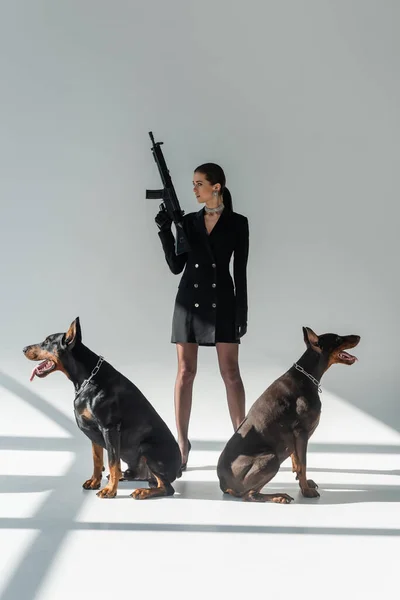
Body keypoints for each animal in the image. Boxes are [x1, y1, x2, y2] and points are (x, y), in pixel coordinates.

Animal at [22, 316, 182, 500]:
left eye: (47, 341)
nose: (23, 349)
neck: (86, 379)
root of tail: (179, 468)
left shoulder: (109, 428)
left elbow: (112, 462)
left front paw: (110, 490)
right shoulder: (93, 432)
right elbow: (97, 460)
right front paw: (94, 481)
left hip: (148, 449)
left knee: (167, 488)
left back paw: (142, 491)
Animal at [217, 326, 360, 504]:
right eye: (338, 339)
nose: (358, 336)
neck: (306, 376)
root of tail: (223, 484)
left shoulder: (292, 437)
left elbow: (297, 462)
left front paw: (304, 483)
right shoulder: (301, 432)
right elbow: (303, 464)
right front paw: (306, 491)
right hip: (271, 459)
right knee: (250, 494)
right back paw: (279, 496)